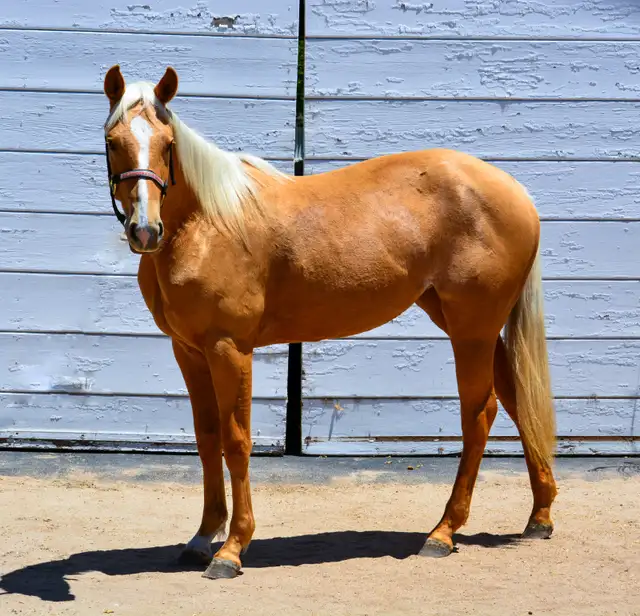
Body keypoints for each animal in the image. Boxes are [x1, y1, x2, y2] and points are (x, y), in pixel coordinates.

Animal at [102, 64, 558, 579]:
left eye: (167, 143)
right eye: (113, 141)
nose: (144, 231)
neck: (208, 223)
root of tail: (514, 191)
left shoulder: (229, 348)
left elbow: (236, 442)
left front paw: (232, 549)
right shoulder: (189, 351)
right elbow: (207, 436)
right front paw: (202, 537)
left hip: (472, 331)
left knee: (479, 415)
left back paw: (443, 533)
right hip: (472, 325)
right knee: (520, 401)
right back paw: (539, 516)